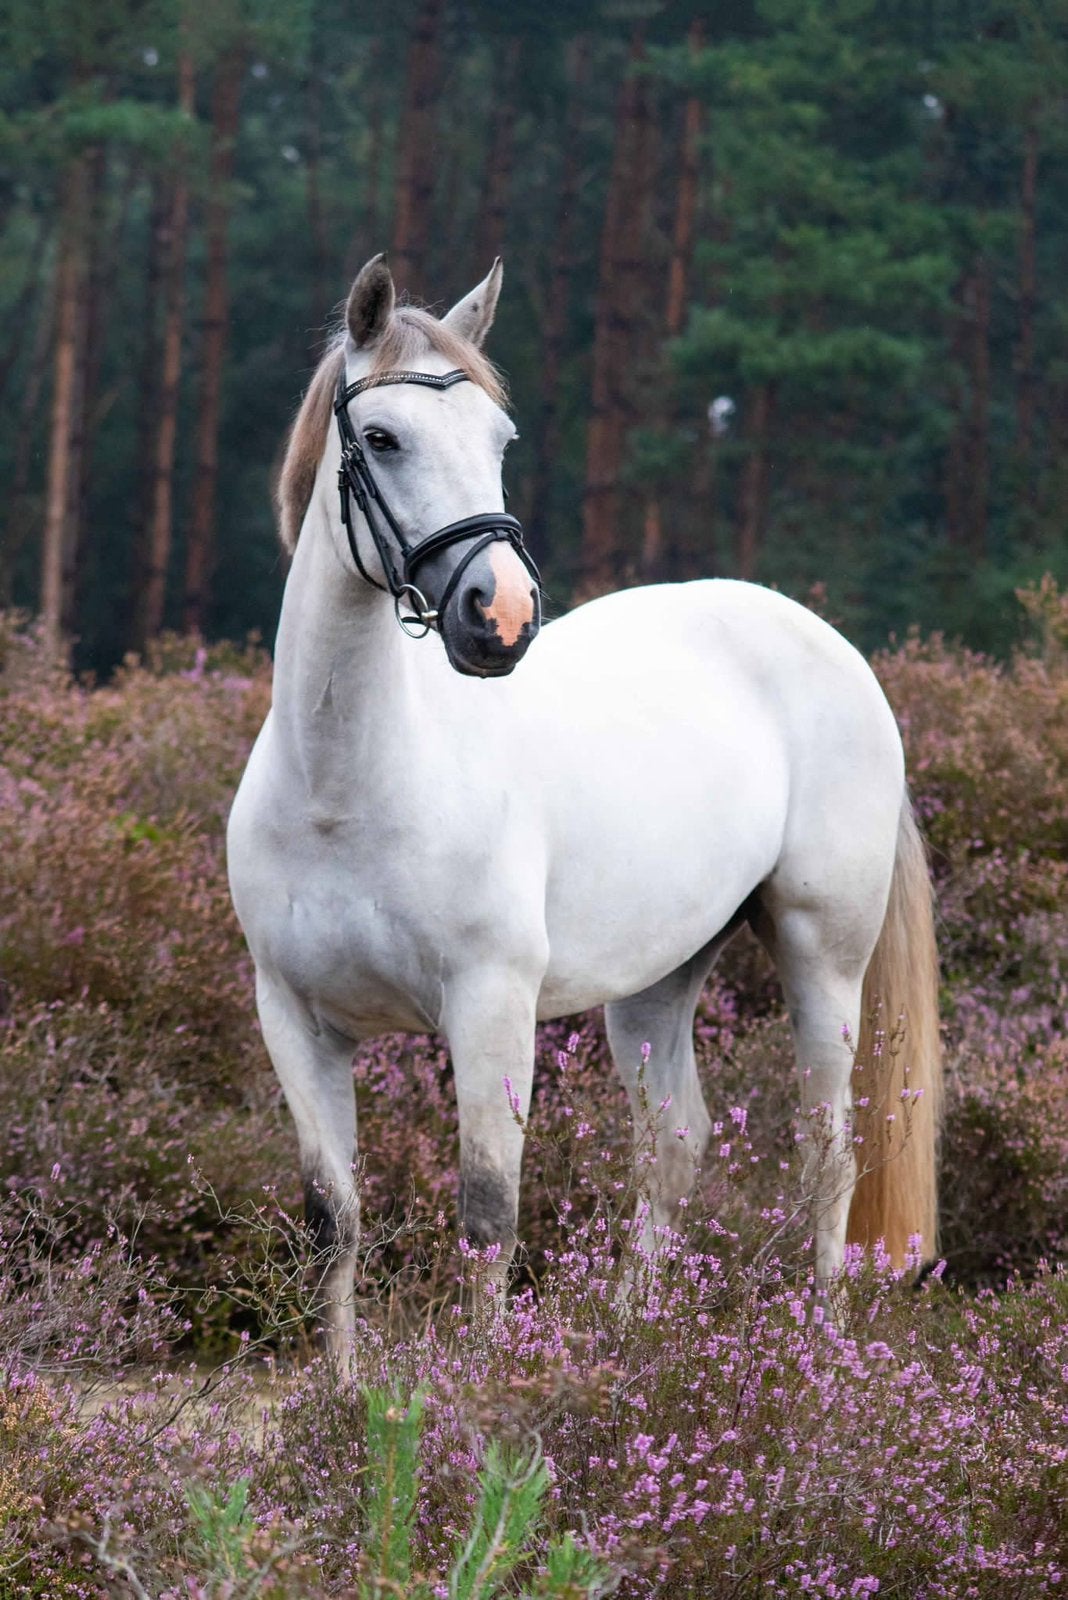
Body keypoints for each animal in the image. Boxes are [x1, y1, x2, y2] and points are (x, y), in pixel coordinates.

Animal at [227, 255, 942, 1360]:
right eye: (382, 438)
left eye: (499, 439)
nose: (502, 614)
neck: (347, 792)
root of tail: (829, 645)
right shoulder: (297, 1021)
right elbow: (332, 1218)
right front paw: (338, 1393)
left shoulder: (490, 1008)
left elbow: (488, 1211)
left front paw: (480, 1384)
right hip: (656, 981)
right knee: (676, 1145)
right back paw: (628, 1339)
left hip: (823, 954)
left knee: (828, 1150)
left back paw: (819, 1354)